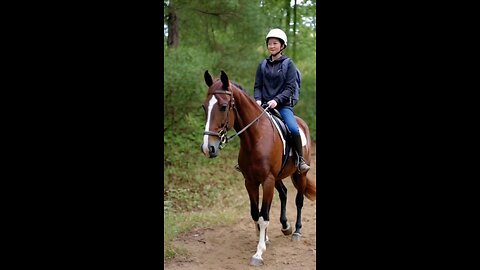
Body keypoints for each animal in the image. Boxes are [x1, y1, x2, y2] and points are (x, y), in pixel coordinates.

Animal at [199, 69, 316, 266]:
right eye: (204, 107)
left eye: (223, 106)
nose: (208, 148)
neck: (256, 138)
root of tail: (302, 123)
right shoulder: (250, 181)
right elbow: (255, 213)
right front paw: (264, 238)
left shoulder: (267, 181)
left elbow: (264, 216)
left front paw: (259, 253)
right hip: (278, 177)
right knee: (284, 193)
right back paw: (285, 226)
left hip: (299, 174)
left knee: (299, 200)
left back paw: (297, 231)